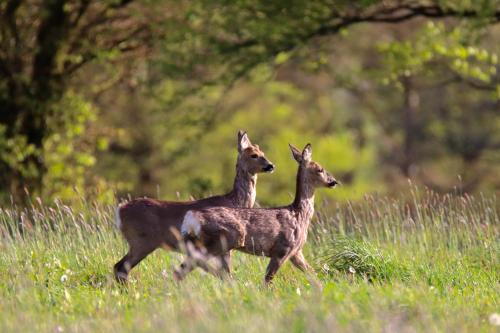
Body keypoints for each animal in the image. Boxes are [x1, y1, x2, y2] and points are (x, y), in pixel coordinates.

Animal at [114, 131, 274, 282]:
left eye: (263, 153)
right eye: (254, 155)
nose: (271, 165)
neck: (234, 201)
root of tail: (120, 210)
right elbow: (226, 272)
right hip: (142, 241)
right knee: (121, 267)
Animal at [174, 141, 338, 284]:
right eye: (320, 169)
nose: (334, 181)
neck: (299, 214)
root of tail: (191, 219)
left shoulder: (296, 252)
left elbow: (313, 274)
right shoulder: (282, 249)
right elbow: (267, 281)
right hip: (223, 239)